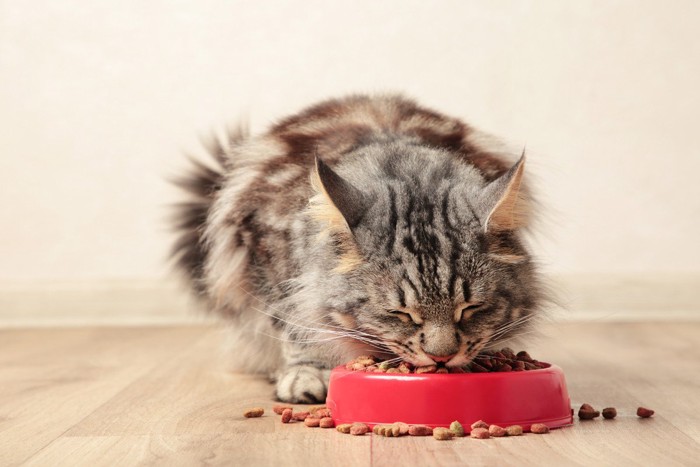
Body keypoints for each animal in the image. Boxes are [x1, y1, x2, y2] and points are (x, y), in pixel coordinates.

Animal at [171, 93, 548, 404]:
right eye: (401, 314)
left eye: (470, 309)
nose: (441, 358)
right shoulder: (267, 251)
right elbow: (295, 323)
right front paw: (307, 373)